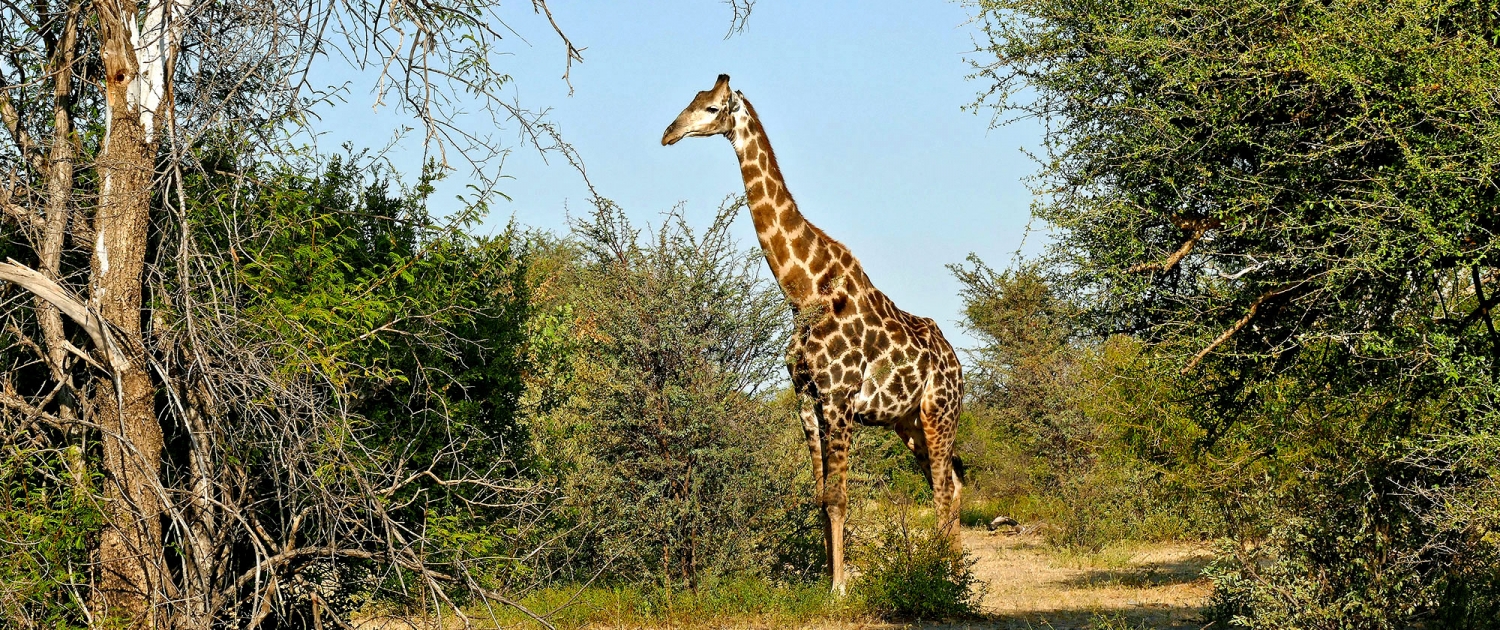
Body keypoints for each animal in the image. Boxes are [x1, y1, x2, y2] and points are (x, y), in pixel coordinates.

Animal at [662, 74, 965, 593]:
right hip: (908, 424)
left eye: (713, 108)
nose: (669, 133)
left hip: (938, 413)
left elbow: (840, 498)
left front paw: (840, 588)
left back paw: (947, 578)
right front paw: (826, 580)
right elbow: (820, 498)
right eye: (691, 101)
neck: (803, 290)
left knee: (945, 490)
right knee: (950, 485)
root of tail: (960, 367)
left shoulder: (839, 398)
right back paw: (952, 572)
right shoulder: (807, 400)